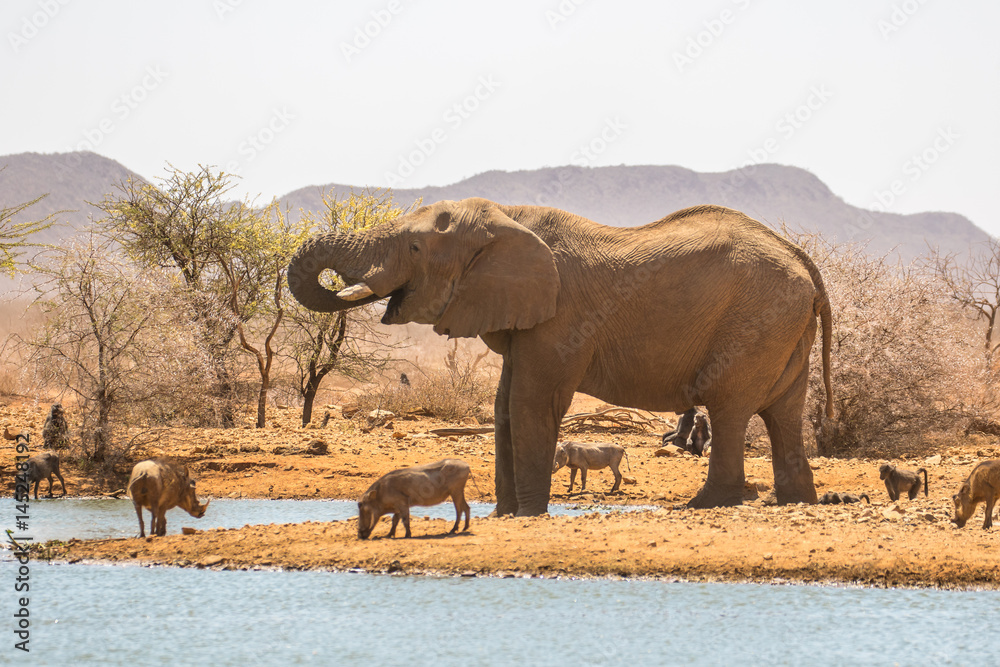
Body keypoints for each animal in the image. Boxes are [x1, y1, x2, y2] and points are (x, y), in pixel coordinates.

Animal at [287, 197, 834, 516]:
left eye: (416, 248)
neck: (507, 219)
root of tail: (804, 261)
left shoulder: (561, 318)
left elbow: (532, 403)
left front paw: (528, 515)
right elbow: (506, 406)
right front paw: (506, 516)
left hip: (756, 320)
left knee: (729, 406)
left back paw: (703, 505)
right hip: (783, 324)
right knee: (784, 412)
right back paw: (796, 500)